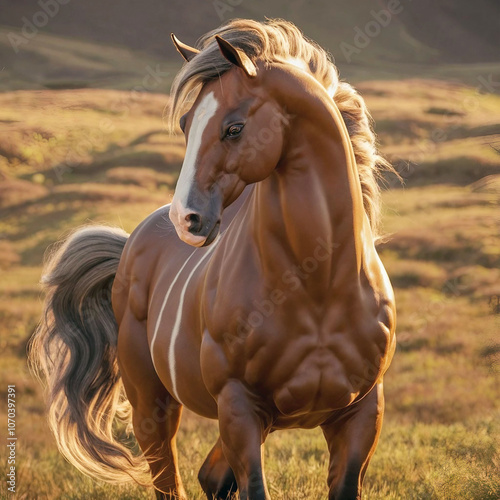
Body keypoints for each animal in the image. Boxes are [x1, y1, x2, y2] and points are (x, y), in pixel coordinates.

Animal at [33, 17, 396, 498]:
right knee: (170, 478)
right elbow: (252, 486)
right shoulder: (239, 406)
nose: (185, 219)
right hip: (152, 405)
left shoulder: (361, 412)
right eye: (187, 123)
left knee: (211, 476)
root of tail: (130, 244)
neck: (318, 284)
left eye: (234, 128)